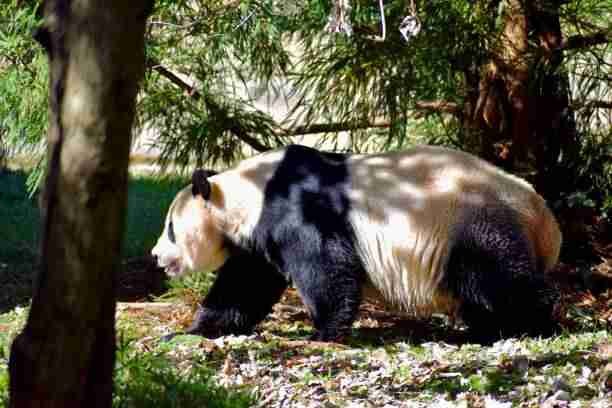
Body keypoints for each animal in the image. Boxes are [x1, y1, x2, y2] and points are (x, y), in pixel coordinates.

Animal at [151, 143, 560, 342]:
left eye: (170, 228)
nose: (156, 256)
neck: (248, 192)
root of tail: (542, 216)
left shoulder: (296, 206)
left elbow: (327, 268)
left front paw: (323, 332)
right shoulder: (258, 238)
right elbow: (243, 286)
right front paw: (195, 330)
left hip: (469, 220)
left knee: (498, 278)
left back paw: (536, 324)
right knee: (478, 290)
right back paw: (485, 330)